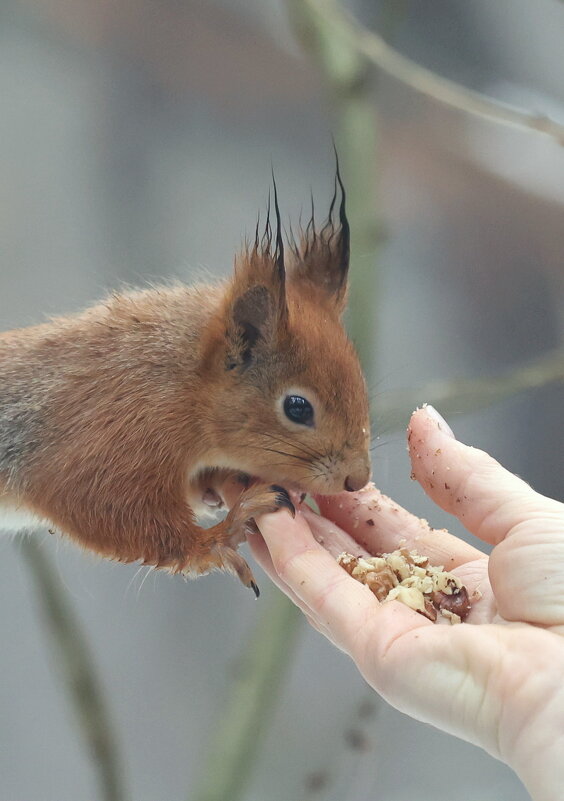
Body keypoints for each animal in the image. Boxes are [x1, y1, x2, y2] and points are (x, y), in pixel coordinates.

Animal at [0, 167, 372, 592]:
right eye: (297, 407)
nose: (357, 479)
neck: (184, 385)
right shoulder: (110, 439)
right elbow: (105, 506)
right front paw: (222, 534)